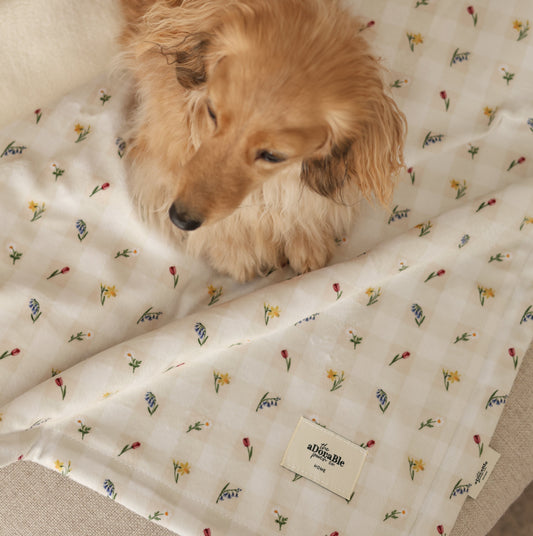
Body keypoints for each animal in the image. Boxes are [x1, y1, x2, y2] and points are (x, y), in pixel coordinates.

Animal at [119, 0, 406, 281]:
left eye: (272, 156)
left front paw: (305, 235)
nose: (180, 218)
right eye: (211, 112)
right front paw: (233, 249)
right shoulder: (156, 164)